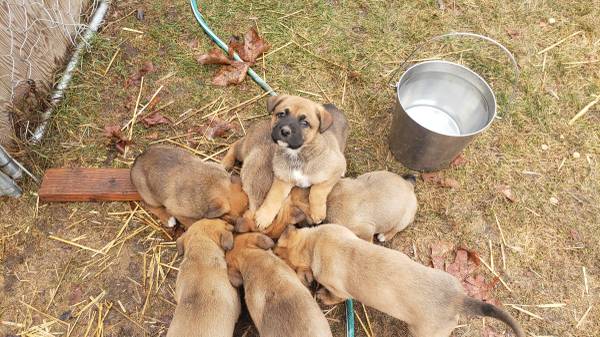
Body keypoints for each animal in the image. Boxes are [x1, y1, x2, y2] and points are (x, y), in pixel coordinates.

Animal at [253, 94, 346, 228]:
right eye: (281, 114)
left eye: (304, 123)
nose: (285, 131)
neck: (297, 155)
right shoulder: (283, 179)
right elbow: (273, 197)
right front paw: (264, 216)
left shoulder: (334, 170)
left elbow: (317, 191)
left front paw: (317, 212)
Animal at [276, 223, 524, 336]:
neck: (313, 244)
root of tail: (457, 300)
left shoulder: (338, 291)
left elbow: (332, 296)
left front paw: (322, 296)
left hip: (423, 332)